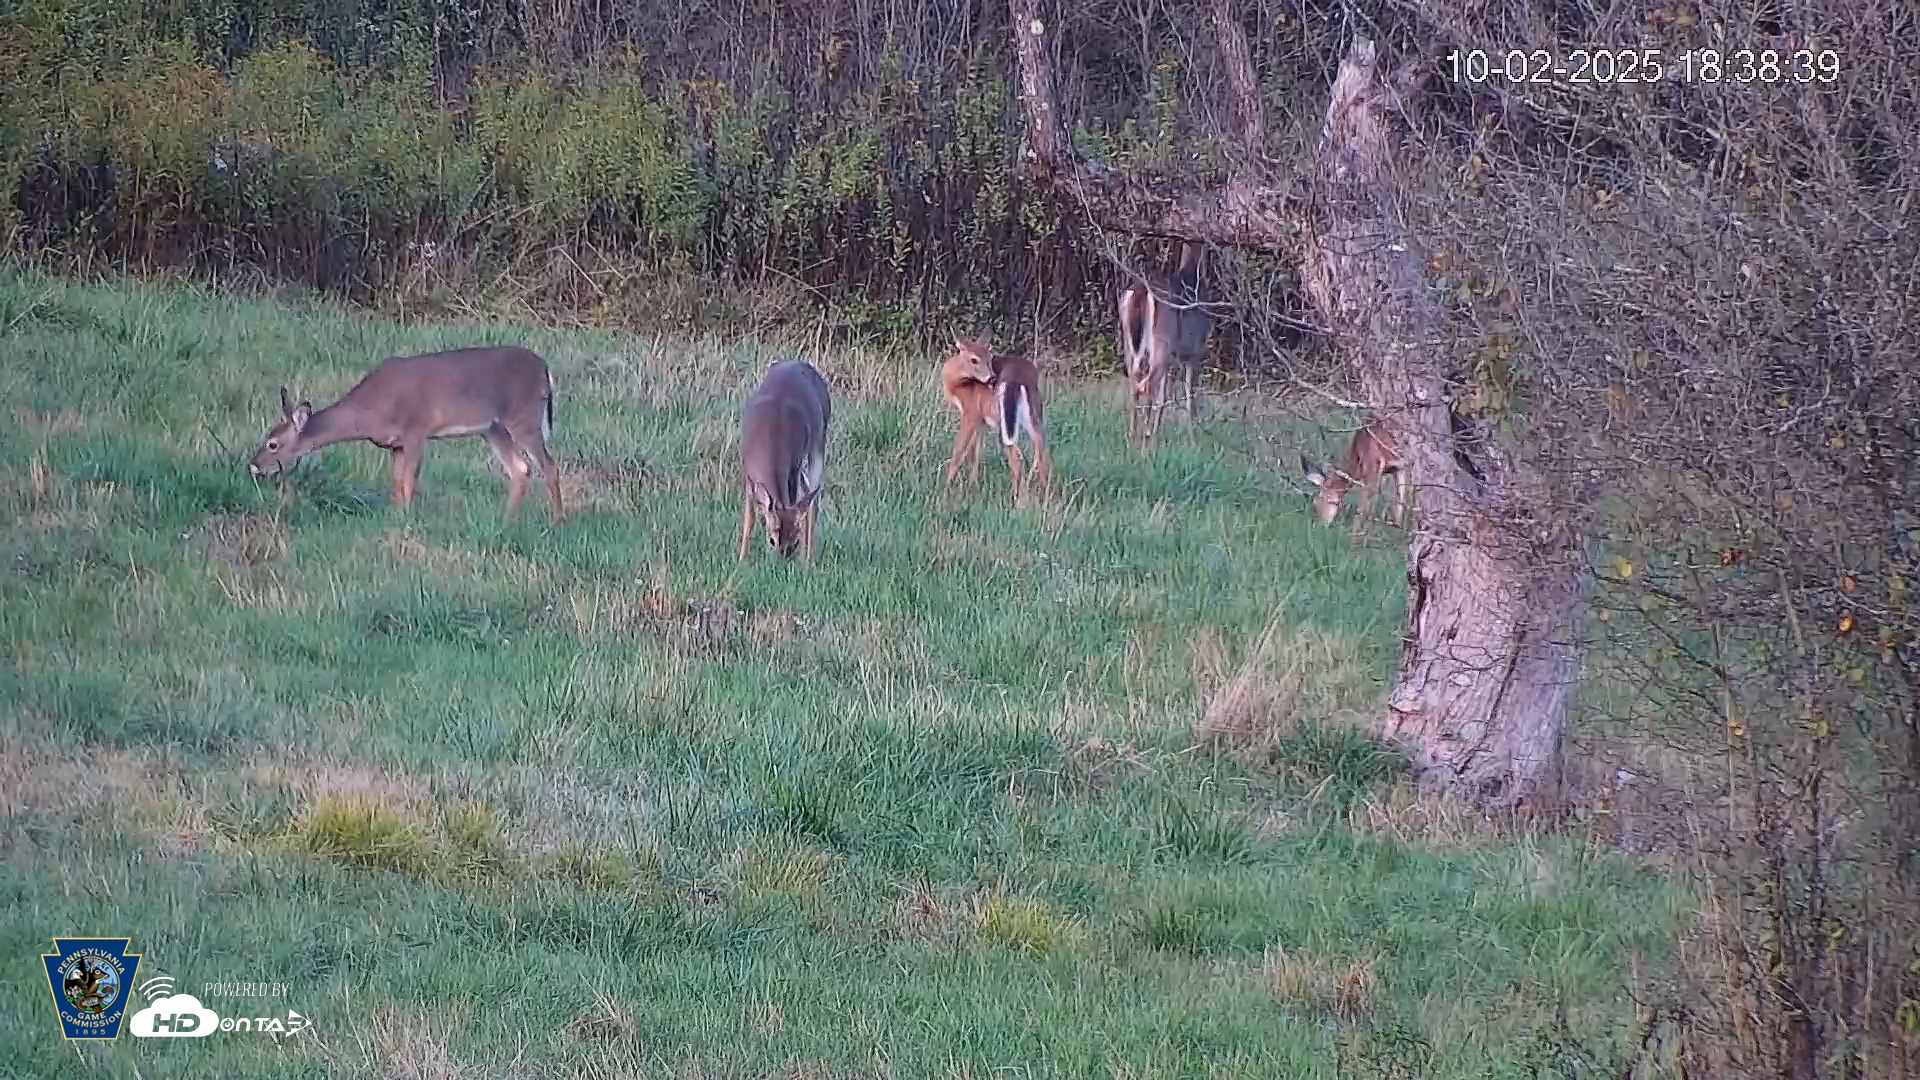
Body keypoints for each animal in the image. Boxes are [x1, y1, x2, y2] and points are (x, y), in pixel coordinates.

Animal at [248, 345, 564, 522]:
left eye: (272, 444)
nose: (253, 465)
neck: (370, 410)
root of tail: (545, 368)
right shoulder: (394, 444)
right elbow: (397, 482)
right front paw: (396, 517)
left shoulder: (416, 429)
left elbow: (409, 481)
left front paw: (408, 521)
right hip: (492, 428)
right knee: (520, 468)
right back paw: (505, 521)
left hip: (523, 416)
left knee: (549, 466)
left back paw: (557, 522)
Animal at [737, 357, 832, 563]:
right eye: (772, 540)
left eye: (794, 542)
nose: (781, 561)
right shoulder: (747, 473)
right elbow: (750, 516)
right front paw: (741, 558)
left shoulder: (793, 465)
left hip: (818, 443)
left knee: (812, 498)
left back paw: (808, 559)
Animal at [940, 335, 1051, 508]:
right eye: (974, 359)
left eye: (989, 357)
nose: (991, 378)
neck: (957, 382)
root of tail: (1019, 378)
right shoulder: (981, 421)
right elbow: (975, 453)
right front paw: (973, 487)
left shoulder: (971, 414)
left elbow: (959, 453)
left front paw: (946, 493)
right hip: (1034, 414)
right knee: (1041, 450)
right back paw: (1043, 499)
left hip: (1004, 421)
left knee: (1016, 457)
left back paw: (1018, 501)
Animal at [1118, 240, 1211, 449]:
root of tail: (1141, 291)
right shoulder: (1194, 351)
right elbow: (1190, 395)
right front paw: (1193, 441)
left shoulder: (1173, 358)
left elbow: (1164, 397)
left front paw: (1157, 434)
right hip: (1162, 342)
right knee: (1147, 385)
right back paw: (1144, 444)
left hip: (1129, 342)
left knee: (1134, 381)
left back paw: (1131, 437)